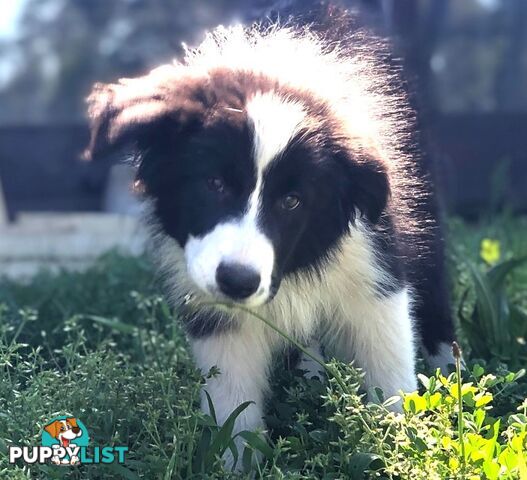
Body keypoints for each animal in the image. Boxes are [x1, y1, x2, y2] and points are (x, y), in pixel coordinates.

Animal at [84, 15, 456, 464]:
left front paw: (403, 448)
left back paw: (452, 375)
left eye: (292, 201)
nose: (238, 282)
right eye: (214, 184)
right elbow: (234, 400)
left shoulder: (371, 265)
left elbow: (388, 368)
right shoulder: (215, 312)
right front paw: (238, 463)